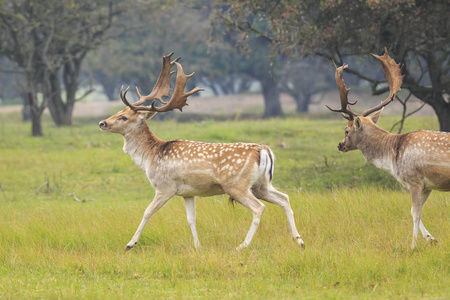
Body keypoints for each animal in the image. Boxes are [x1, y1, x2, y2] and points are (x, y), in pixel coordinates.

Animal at [97, 53, 302, 251]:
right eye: (118, 111)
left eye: (124, 117)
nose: (102, 123)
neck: (151, 156)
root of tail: (264, 150)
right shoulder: (188, 192)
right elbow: (191, 219)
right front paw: (198, 246)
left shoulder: (165, 187)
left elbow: (147, 211)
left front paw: (130, 244)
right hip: (261, 185)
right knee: (284, 198)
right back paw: (299, 241)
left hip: (237, 184)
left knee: (259, 208)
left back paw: (242, 246)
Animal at [326, 49, 450, 250]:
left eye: (346, 130)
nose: (340, 145)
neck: (392, 157)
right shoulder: (427, 186)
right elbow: (414, 211)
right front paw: (432, 238)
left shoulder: (414, 181)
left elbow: (415, 213)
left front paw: (412, 246)